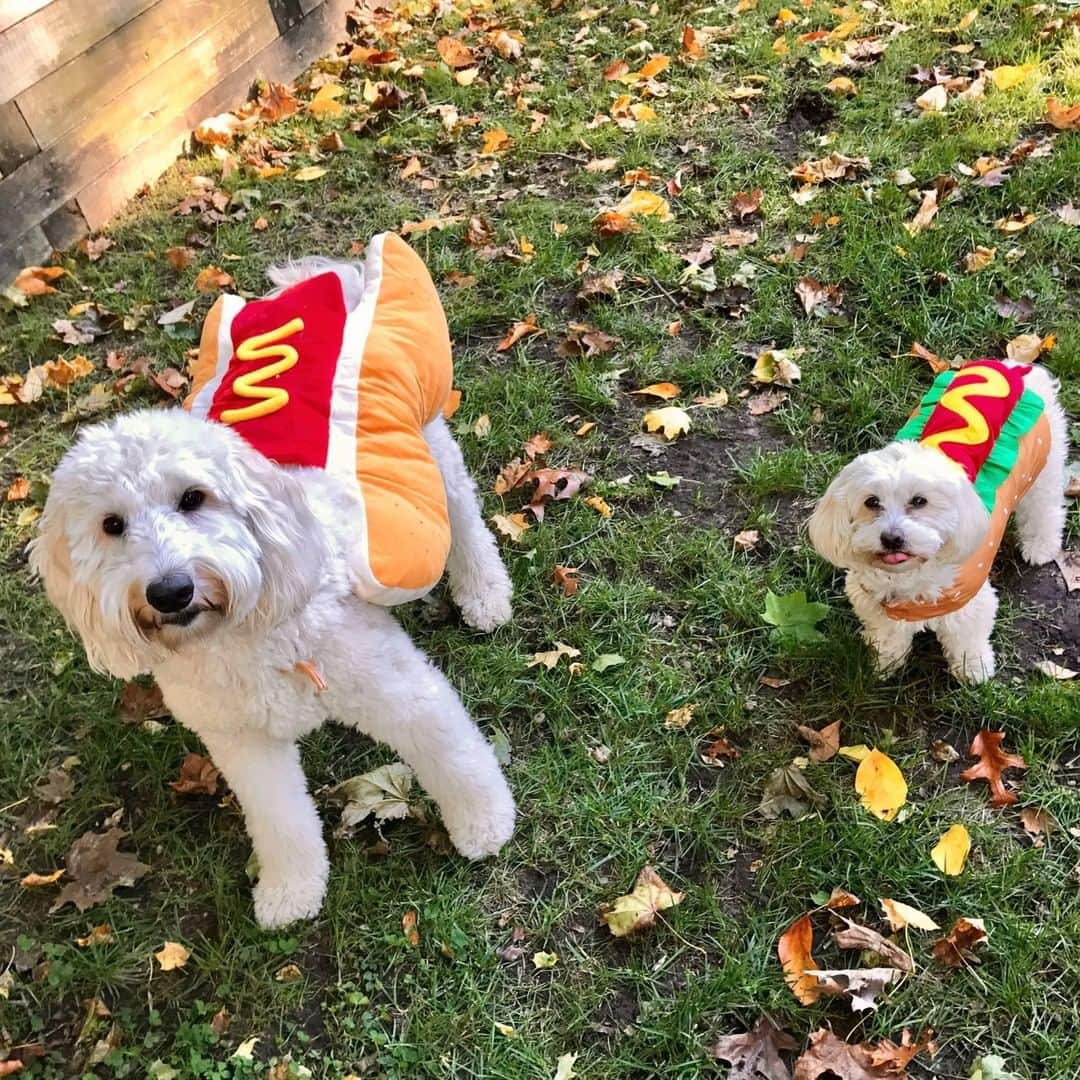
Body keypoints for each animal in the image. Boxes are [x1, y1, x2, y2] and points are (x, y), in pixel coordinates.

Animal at [32, 261, 518, 928]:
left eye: (193, 498)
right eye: (111, 525)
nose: (170, 591)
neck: (242, 634)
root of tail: (316, 278)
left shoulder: (399, 692)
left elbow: (454, 755)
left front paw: (485, 823)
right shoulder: (243, 744)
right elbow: (281, 820)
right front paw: (291, 890)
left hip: (426, 435)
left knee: (463, 513)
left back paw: (484, 589)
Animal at [807, 362, 1067, 682]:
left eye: (920, 501)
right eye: (871, 502)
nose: (891, 538)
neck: (910, 576)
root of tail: (1010, 367)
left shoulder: (970, 603)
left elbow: (968, 640)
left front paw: (974, 670)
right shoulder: (873, 604)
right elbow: (888, 637)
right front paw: (885, 664)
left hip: (1043, 468)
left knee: (1045, 508)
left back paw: (1040, 545)